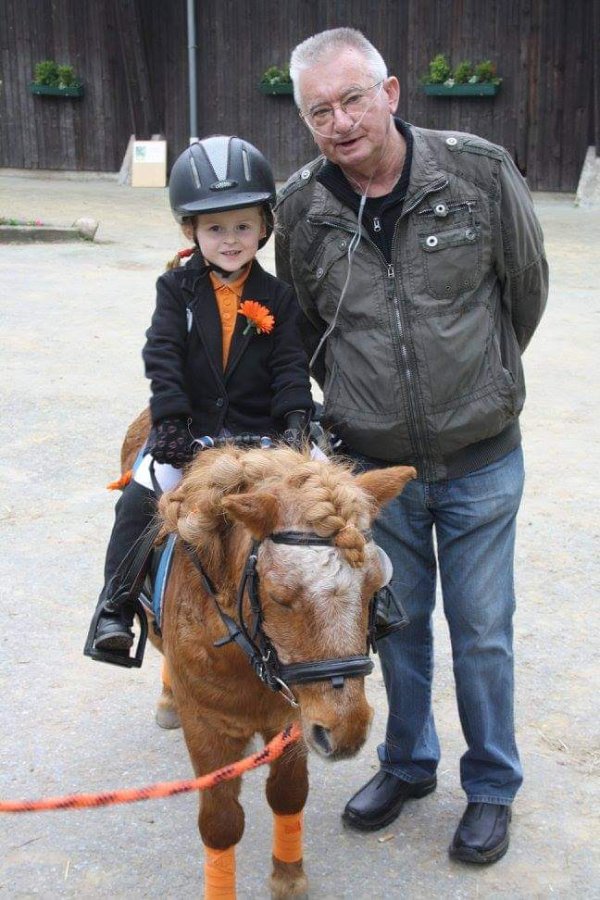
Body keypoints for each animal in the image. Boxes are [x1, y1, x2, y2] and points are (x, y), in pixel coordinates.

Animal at [121, 411, 416, 898]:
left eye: (376, 586)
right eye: (279, 596)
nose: (346, 731)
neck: (247, 655)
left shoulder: (293, 719)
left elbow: (288, 794)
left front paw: (288, 875)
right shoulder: (207, 727)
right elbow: (221, 823)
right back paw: (167, 701)